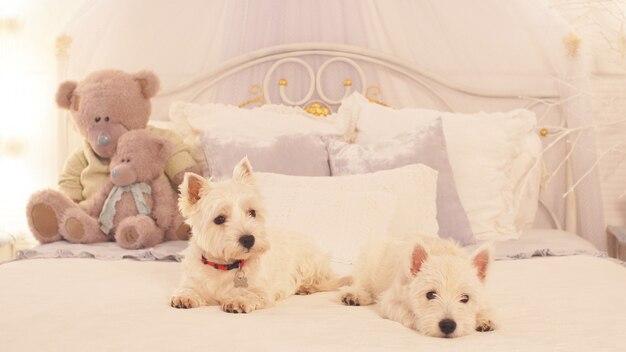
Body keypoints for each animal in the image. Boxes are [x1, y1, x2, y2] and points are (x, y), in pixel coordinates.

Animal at [169, 158, 342, 312]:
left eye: (252, 212)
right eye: (219, 219)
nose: (248, 239)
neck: (225, 265)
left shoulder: (262, 290)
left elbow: (251, 294)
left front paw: (238, 300)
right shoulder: (193, 281)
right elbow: (189, 289)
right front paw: (184, 297)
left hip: (311, 264)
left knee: (323, 280)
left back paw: (306, 288)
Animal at [338, 235, 494, 336]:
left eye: (465, 298)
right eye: (430, 295)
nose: (448, 325)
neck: (443, 252)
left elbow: (484, 308)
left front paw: (485, 319)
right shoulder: (391, 302)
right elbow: (406, 313)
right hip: (368, 263)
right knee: (361, 283)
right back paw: (354, 295)